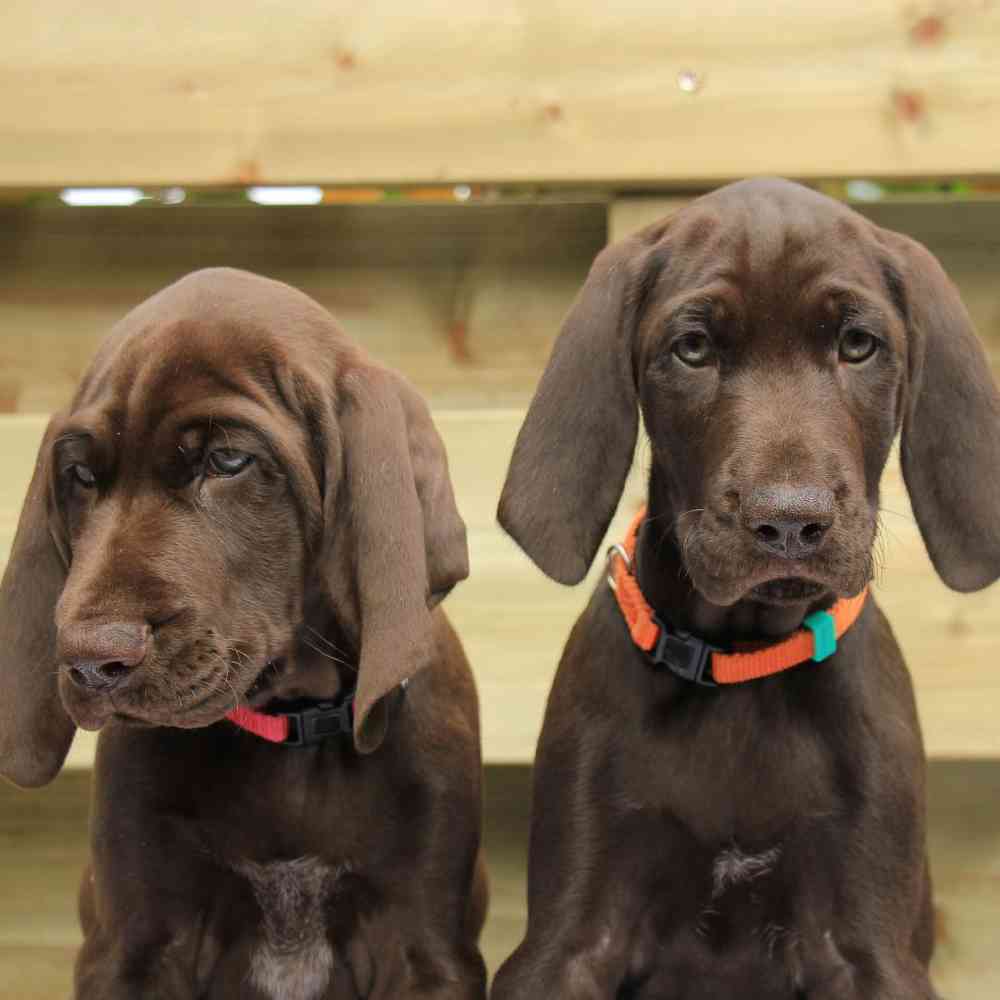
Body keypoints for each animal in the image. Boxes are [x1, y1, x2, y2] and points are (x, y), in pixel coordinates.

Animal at [0, 268, 488, 1000]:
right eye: (81, 477)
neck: (288, 731)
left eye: (229, 461)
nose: (90, 660)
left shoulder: (423, 949)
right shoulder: (135, 945)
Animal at [492, 180, 1000, 1000]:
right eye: (693, 349)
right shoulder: (568, 941)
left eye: (858, 344)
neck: (743, 664)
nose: (789, 522)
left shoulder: (868, 947)